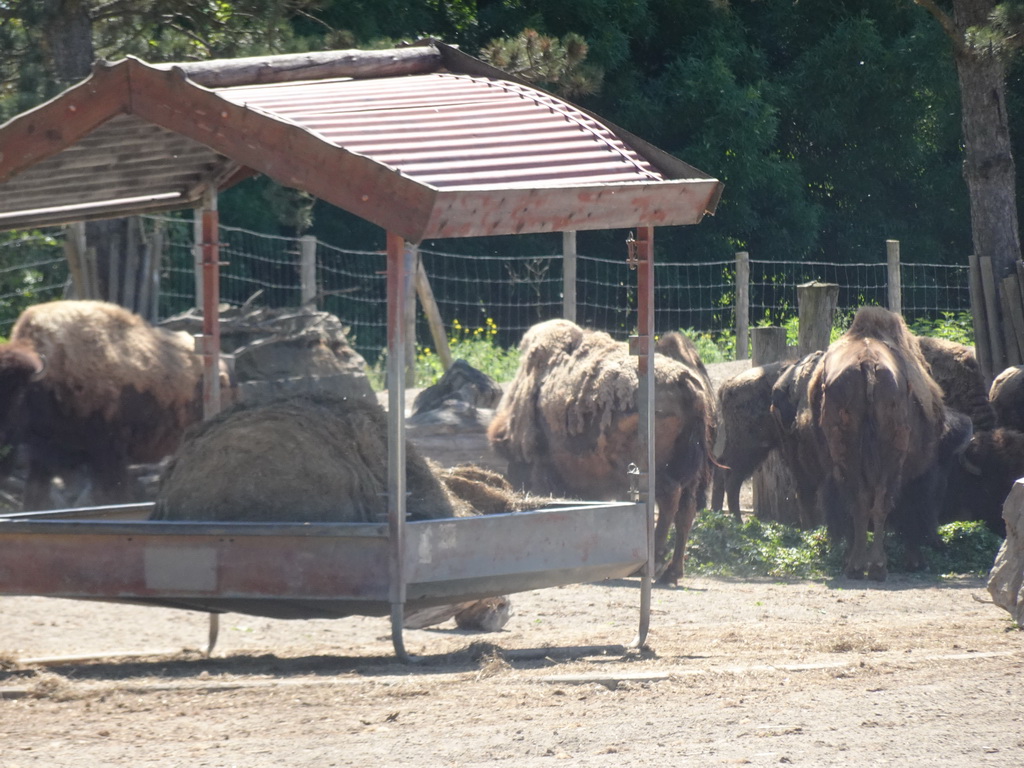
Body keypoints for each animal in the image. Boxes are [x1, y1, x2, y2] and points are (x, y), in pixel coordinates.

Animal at [0, 301, 232, 512]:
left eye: (20, 393)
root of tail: (222, 366)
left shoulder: (108, 452)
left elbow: (111, 495)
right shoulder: (43, 456)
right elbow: (35, 496)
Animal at [485, 317, 712, 581]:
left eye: (515, 461)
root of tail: (685, 383)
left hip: (648, 469)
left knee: (670, 498)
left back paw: (655, 561)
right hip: (690, 472)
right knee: (686, 510)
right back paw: (672, 573)